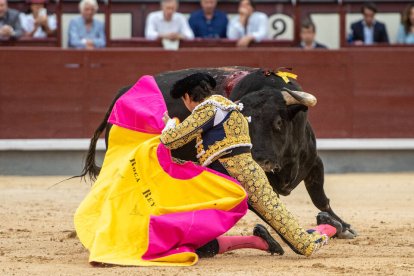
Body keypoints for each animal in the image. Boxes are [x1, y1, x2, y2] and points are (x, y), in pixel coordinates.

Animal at [82, 66, 358, 238]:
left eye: (279, 122)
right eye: (245, 124)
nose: (261, 161)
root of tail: (120, 95)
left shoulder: (313, 162)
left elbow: (320, 198)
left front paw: (343, 227)